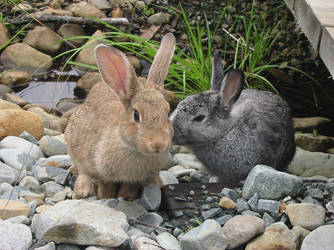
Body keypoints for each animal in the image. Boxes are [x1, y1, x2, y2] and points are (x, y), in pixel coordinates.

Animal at [64, 33, 176, 201]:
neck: (133, 148)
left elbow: (129, 188)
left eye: (167, 112)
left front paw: (126, 198)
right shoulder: (101, 172)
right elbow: (106, 186)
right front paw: (106, 198)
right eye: (136, 114)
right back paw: (83, 190)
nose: (158, 144)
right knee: (81, 170)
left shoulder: (134, 180)